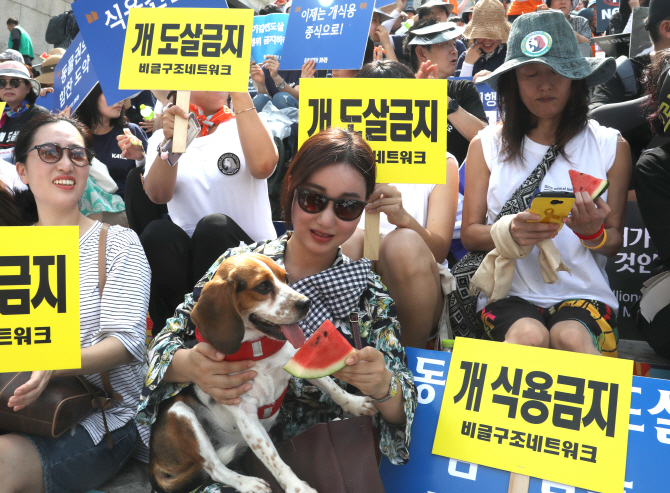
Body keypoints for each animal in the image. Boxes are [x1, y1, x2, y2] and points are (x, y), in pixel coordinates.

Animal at [148, 254, 378, 492]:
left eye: (285, 277)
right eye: (263, 286)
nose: (306, 303)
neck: (258, 351)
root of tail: (153, 464)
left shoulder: (296, 363)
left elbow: (333, 388)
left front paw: (355, 404)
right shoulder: (247, 416)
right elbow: (274, 460)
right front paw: (297, 487)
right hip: (180, 414)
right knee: (214, 467)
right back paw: (249, 483)